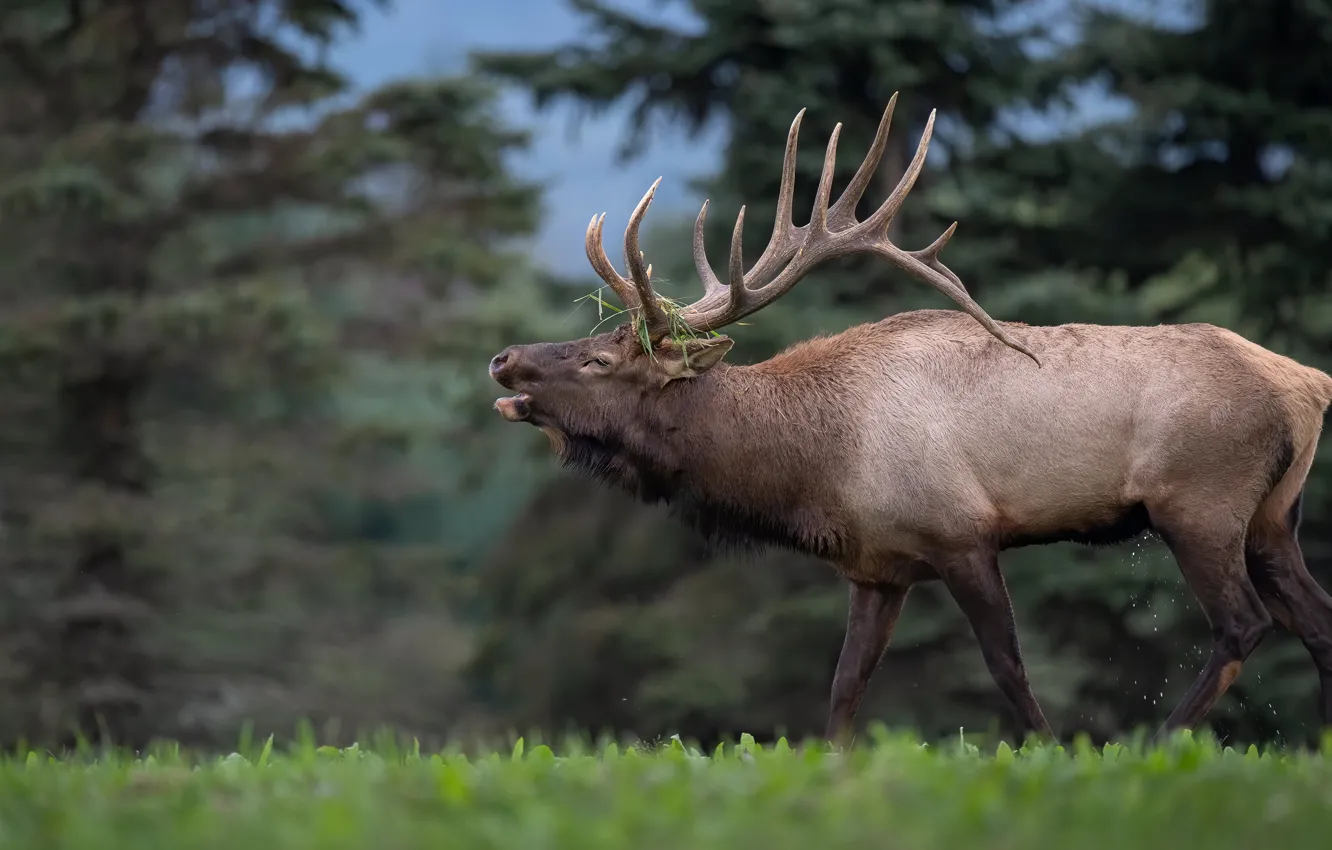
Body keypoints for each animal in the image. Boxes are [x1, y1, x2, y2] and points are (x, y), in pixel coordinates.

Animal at [487, 92, 1332, 747]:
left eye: (600, 360)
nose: (504, 359)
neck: (817, 467)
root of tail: (1309, 384)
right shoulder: (878, 569)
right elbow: (844, 687)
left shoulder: (962, 531)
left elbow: (1007, 667)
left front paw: (1055, 750)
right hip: (1273, 515)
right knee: (1317, 620)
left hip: (1199, 500)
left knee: (1243, 624)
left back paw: (1156, 741)